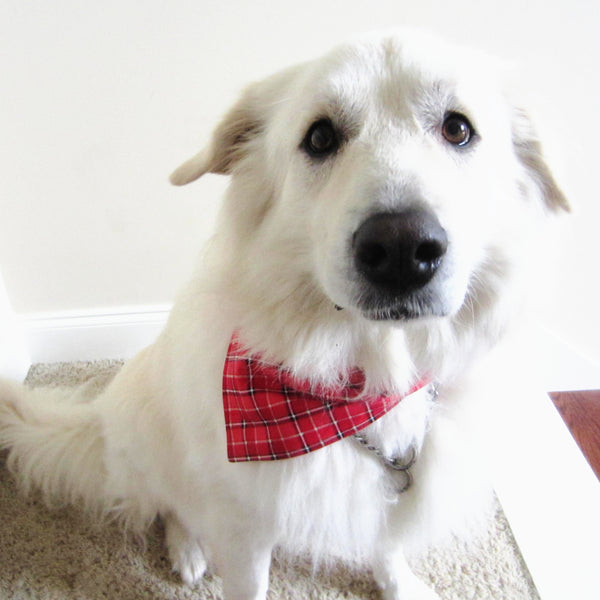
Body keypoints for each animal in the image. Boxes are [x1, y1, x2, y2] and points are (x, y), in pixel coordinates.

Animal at [1, 29, 568, 600]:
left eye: (457, 128)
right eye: (319, 138)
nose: (403, 249)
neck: (358, 389)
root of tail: (99, 424)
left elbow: (386, 542)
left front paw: (398, 583)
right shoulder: (245, 527)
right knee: (172, 506)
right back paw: (188, 549)